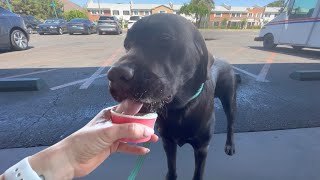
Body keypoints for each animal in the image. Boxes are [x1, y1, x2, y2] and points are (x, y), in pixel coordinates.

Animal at [107, 13, 235, 179]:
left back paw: (230, 145)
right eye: (127, 45)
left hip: (229, 100)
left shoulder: (202, 148)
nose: (115, 74)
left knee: (231, 123)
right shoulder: (167, 142)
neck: (180, 108)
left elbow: (198, 174)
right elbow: (171, 167)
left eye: (164, 39)